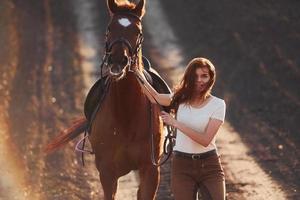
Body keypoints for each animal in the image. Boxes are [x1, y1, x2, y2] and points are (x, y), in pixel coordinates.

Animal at [45, 0, 165, 199]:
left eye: (138, 31)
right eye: (109, 28)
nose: (118, 60)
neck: (126, 114)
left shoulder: (150, 170)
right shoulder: (107, 172)